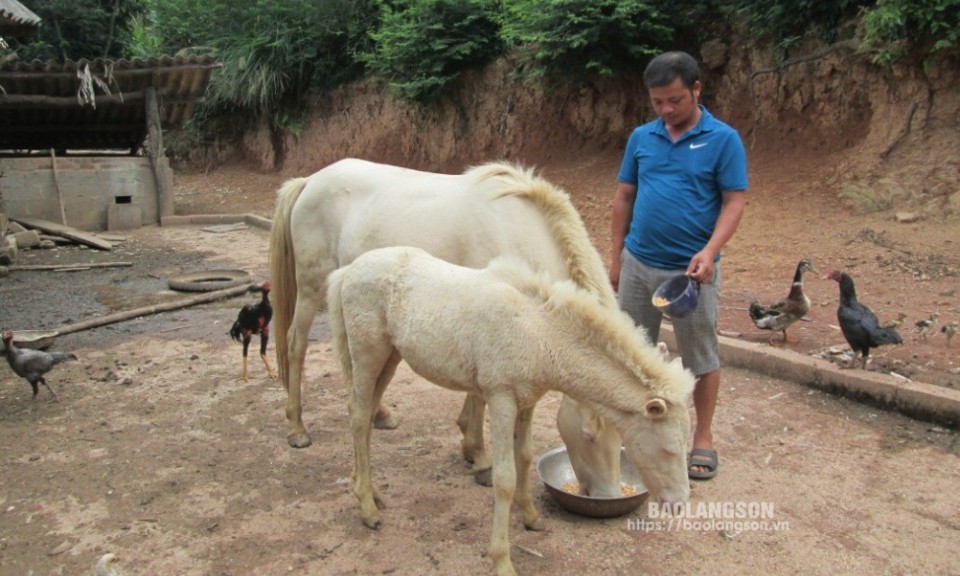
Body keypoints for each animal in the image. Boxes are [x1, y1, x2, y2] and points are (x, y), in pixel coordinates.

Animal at [270, 156, 624, 486]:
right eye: (590, 434)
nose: (607, 494)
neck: (514, 228)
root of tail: (309, 181)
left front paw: (470, 445)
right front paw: (480, 457)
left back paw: (379, 413)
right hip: (311, 288)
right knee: (296, 345)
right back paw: (296, 428)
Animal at [328, 248, 688, 576]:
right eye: (669, 450)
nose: (679, 505)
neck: (536, 332)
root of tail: (348, 271)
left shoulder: (528, 402)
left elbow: (525, 457)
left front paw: (530, 517)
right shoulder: (501, 398)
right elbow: (504, 478)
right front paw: (502, 559)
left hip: (389, 357)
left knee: (367, 415)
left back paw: (370, 491)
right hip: (368, 355)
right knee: (358, 416)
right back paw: (368, 508)